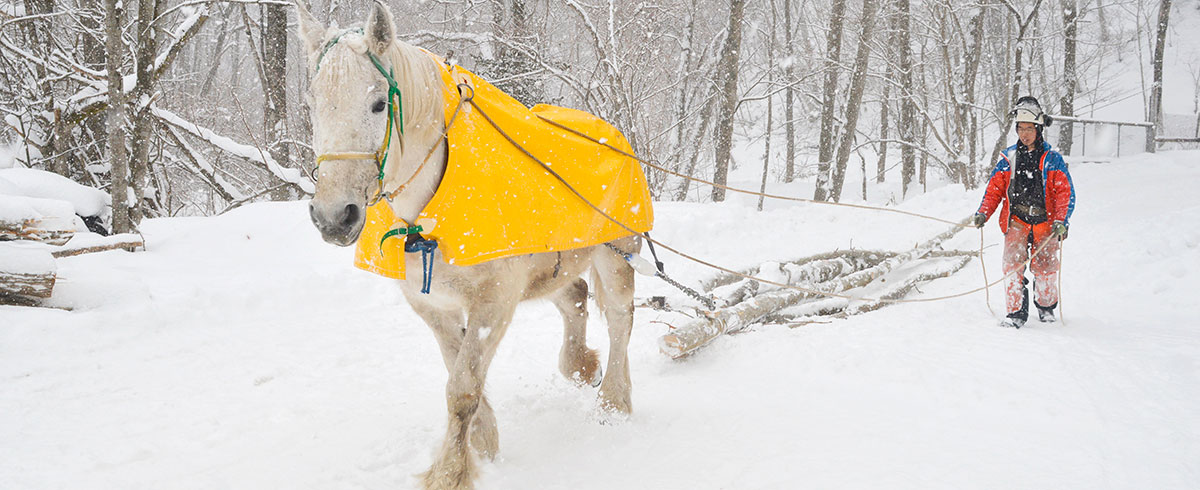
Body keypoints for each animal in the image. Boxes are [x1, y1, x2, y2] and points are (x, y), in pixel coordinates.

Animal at [296, 1, 643, 487]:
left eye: (378, 103)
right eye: (311, 105)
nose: (332, 216)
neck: (427, 219)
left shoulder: (494, 301)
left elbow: (462, 386)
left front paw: (450, 470)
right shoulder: (430, 304)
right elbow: (456, 365)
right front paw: (483, 441)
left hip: (616, 255)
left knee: (619, 320)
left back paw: (614, 400)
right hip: (552, 265)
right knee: (575, 297)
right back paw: (581, 366)